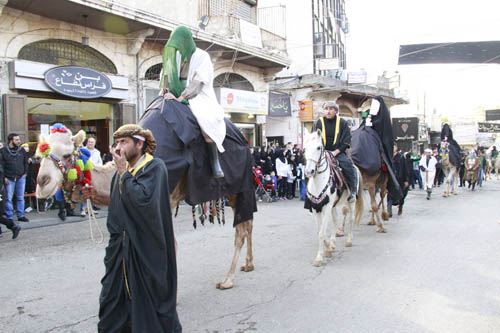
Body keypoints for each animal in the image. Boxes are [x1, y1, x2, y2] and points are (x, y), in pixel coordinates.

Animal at [35, 123, 254, 290]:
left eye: (66, 154)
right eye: (40, 155)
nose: (42, 183)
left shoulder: (163, 200)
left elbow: (169, 244)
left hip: (237, 187)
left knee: (241, 231)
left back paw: (227, 280)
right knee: (248, 225)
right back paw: (248, 265)